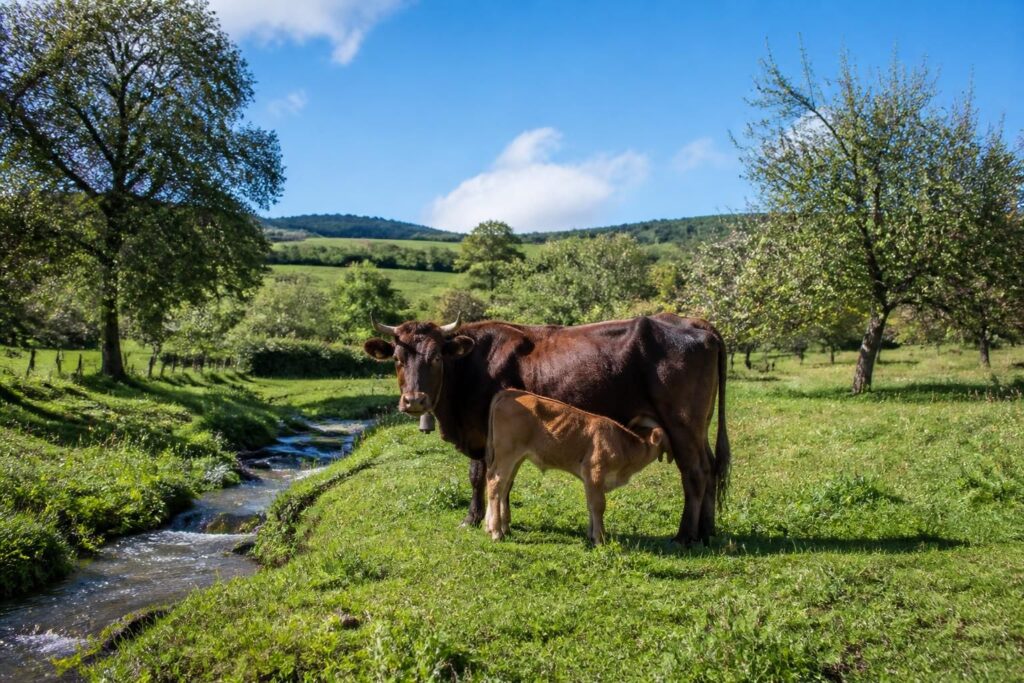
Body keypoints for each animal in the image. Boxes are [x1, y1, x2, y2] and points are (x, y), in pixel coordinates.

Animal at [484, 389, 668, 544]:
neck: (622, 445)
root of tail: (510, 392)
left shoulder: (590, 481)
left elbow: (590, 504)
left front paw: (591, 534)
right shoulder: (594, 472)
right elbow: (598, 505)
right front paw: (600, 538)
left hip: (516, 459)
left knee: (504, 486)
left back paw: (502, 528)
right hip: (507, 455)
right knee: (495, 483)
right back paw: (497, 532)